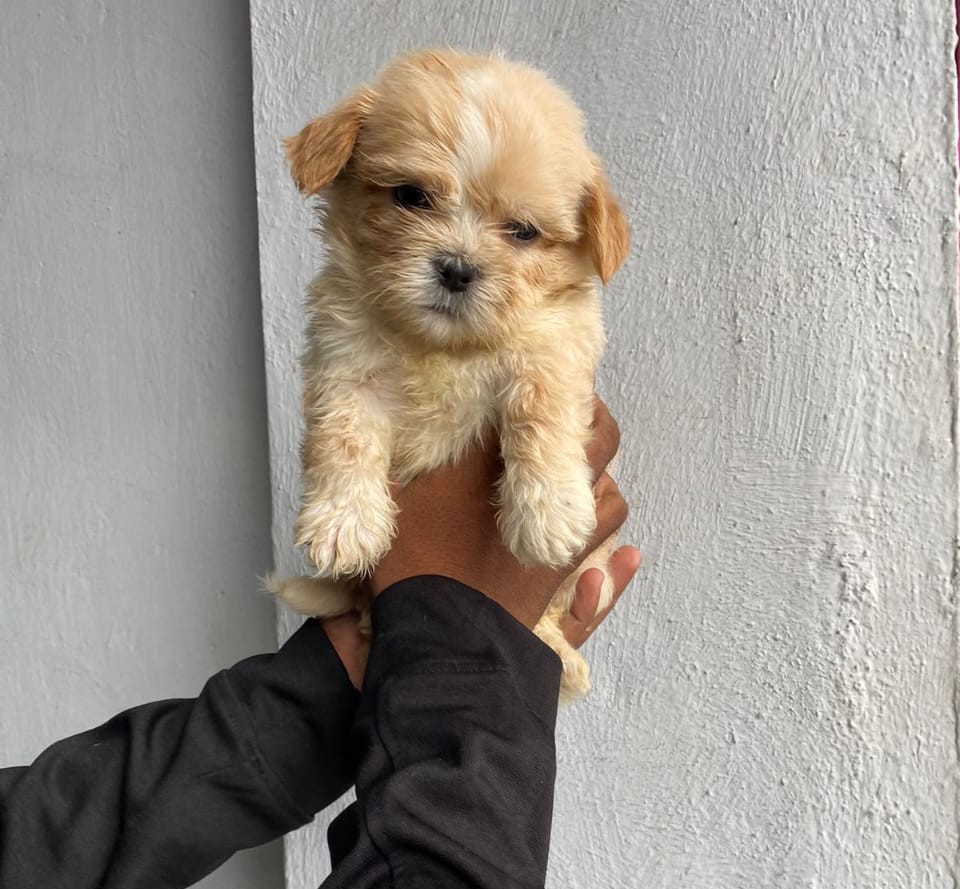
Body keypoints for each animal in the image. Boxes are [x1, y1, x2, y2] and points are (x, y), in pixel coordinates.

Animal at [270, 50, 632, 700]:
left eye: (522, 231)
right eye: (411, 196)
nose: (458, 269)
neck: (444, 348)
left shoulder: (556, 343)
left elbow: (540, 406)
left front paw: (547, 513)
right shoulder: (345, 361)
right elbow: (344, 435)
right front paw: (343, 524)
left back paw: (558, 656)